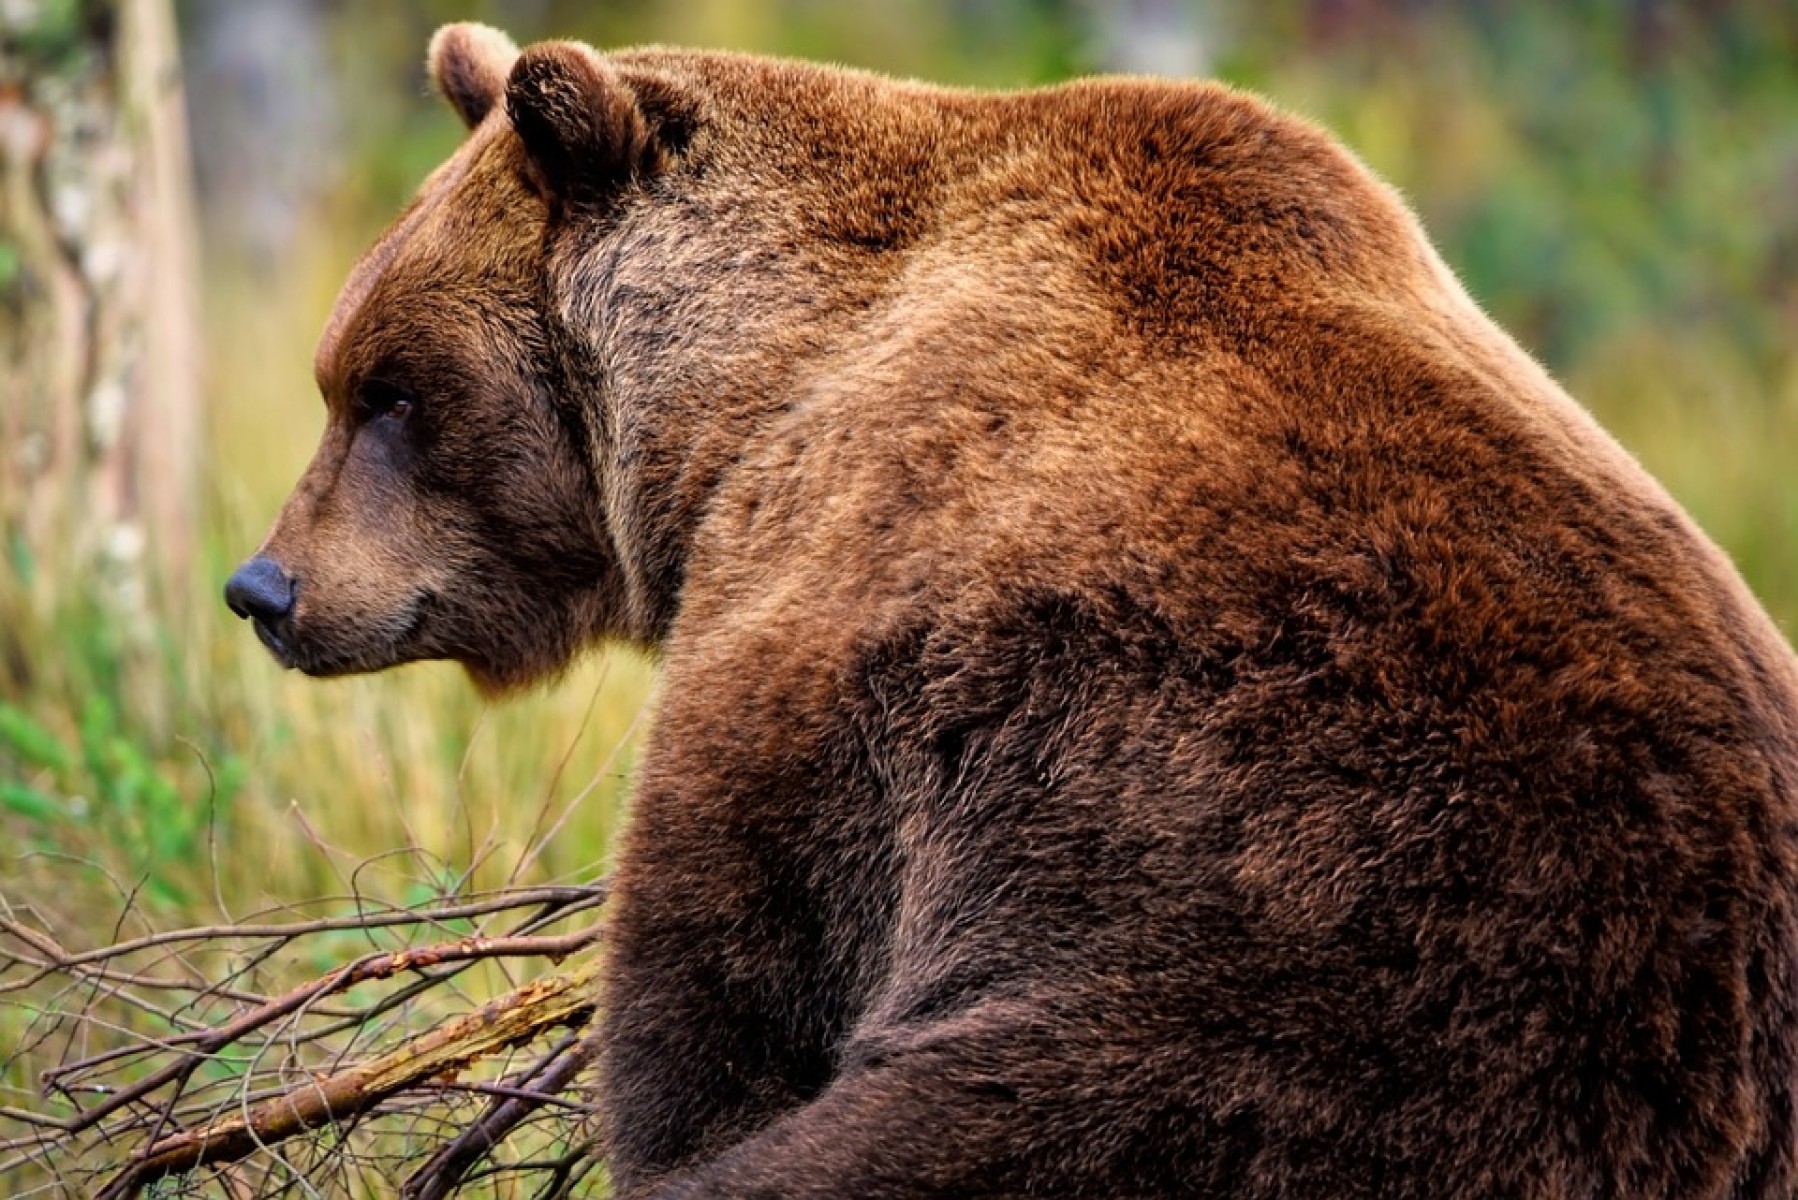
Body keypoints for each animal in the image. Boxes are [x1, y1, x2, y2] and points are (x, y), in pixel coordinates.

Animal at [224, 21, 1798, 1200]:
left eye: (391, 390)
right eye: (340, 374)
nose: (262, 586)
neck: (742, 402)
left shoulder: (842, 644)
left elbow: (720, 991)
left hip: (1315, 1001)